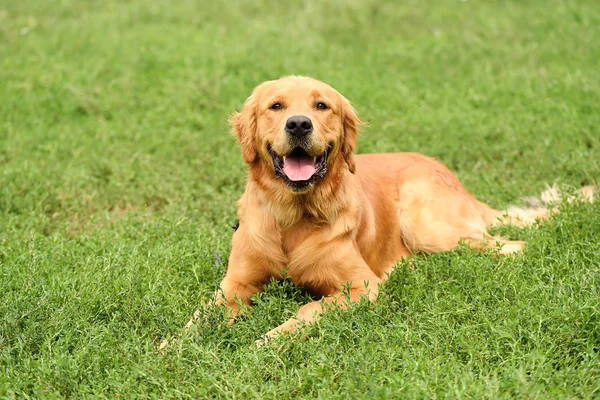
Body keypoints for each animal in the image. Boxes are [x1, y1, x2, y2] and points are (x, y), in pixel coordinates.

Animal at [213, 76, 592, 344]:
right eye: (275, 106)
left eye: (322, 105)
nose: (298, 124)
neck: (293, 217)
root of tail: (456, 181)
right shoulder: (235, 282)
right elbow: (208, 312)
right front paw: (197, 339)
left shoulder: (359, 287)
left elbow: (308, 310)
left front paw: (267, 340)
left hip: (426, 224)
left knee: (513, 247)